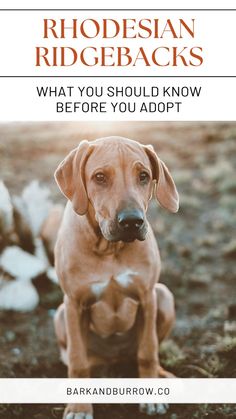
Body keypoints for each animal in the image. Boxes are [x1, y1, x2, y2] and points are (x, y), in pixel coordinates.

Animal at [53, 136, 179, 418]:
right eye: (99, 177)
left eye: (144, 176)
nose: (132, 221)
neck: (109, 249)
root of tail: (114, 358)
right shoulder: (73, 304)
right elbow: (77, 361)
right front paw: (78, 407)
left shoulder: (148, 296)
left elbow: (148, 351)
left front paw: (152, 394)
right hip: (60, 315)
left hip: (164, 295)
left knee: (144, 352)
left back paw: (162, 375)